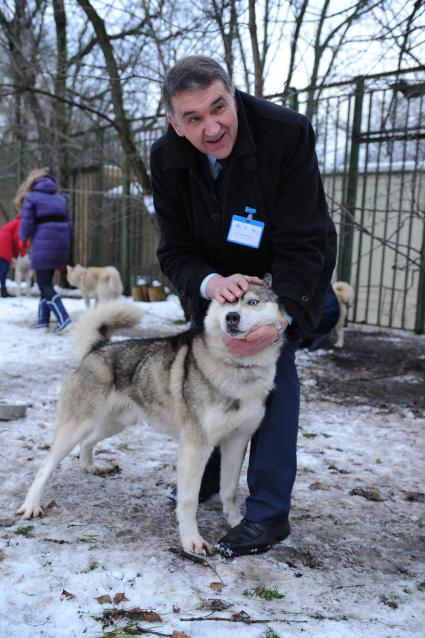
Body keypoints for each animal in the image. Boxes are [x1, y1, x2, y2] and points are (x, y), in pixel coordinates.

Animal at [19, 288, 284, 556]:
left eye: (252, 302)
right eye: (227, 300)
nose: (231, 317)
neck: (240, 369)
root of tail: (97, 348)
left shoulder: (237, 441)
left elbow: (228, 490)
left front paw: (237, 523)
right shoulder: (196, 447)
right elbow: (189, 500)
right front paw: (192, 540)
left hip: (114, 424)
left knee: (87, 442)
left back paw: (90, 466)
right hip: (76, 427)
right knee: (46, 464)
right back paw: (31, 505)